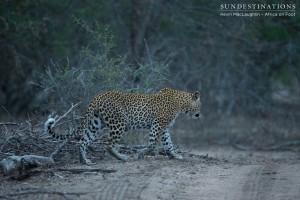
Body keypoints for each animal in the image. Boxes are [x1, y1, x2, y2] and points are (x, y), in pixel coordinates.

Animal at [44, 88, 203, 165]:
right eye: (200, 105)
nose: (199, 115)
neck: (182, 104)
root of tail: (98, 97)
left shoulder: (163, 128)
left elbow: (168, 143)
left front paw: (175, 155)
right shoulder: (158, 123)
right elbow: (152, 143)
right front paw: (141, 154)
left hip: (95, 124)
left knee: (82, 142)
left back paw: (85, 162)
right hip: (119, 123)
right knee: (108, 144)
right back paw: (122, 157)